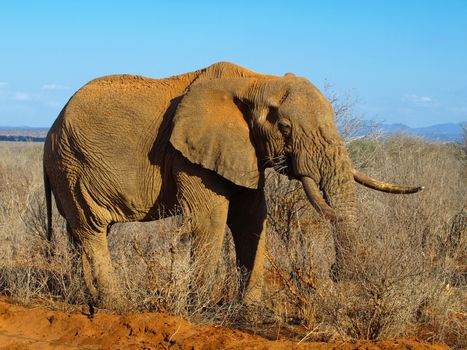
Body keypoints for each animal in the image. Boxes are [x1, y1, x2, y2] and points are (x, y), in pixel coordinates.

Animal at [44, 62, 424, 308]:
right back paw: (117, 306)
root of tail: (51, 128)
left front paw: (251, 313)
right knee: (92, 228)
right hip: (72, 163)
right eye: (285, 128)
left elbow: (251, 219)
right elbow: (211, 218)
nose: (338, 275)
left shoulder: (243, 151)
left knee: (80, 233)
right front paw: (199, 310)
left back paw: (85, 298)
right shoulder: (189, 153)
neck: (257, 81)